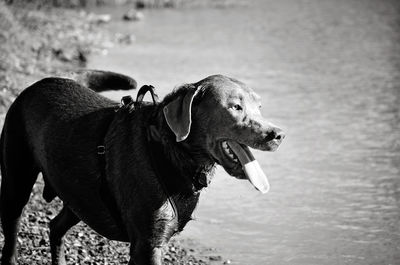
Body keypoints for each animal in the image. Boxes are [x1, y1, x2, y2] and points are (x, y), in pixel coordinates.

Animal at [0, 70, 282, 264]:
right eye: (235, 107)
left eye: (259, 107)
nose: (278, 134)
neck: (172, 152)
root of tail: (44, 81)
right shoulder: (147, 244)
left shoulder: (151, 241)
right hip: (16, 181)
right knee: (11, 236)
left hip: (81, 197)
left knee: (56, 226)